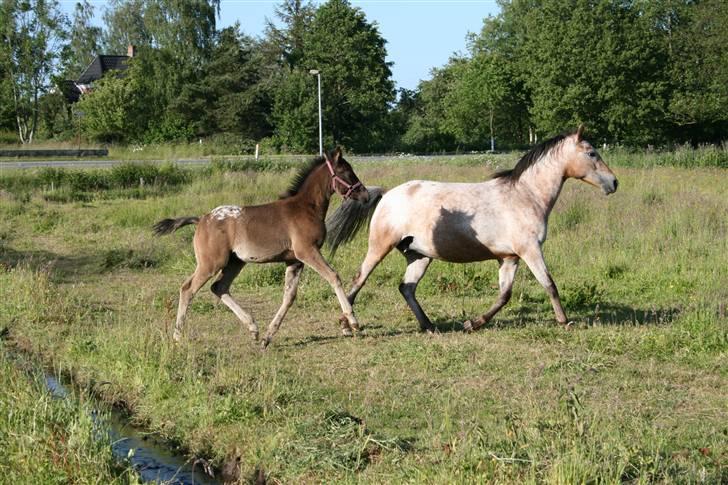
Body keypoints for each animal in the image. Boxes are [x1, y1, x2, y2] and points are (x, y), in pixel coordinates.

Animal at [154, 147, 370, 348]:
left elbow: (289, 296)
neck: (306, 208)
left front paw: (268, 337)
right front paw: (353, 322)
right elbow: (334, 276)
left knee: (219, 287)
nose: (365, 195)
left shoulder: (294, 260)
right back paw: (177, 337)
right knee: (187, 288)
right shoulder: (307, 251)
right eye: (346, 172)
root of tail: (201, 220)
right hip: (212, 262)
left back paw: (253, 329)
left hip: (235, 262)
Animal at [328, 126, 616, 330]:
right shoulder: (530, 250)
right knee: (360, 277)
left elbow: (504, 295)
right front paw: (564, 321)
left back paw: (429, 326)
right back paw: (346, 322)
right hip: (380, 246)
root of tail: (387, 194)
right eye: (592, 153)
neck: (525, 196)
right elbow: (549, 284)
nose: (614, 182)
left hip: (419, 255)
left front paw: (473, 323)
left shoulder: (509, 258)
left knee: (406, 288)